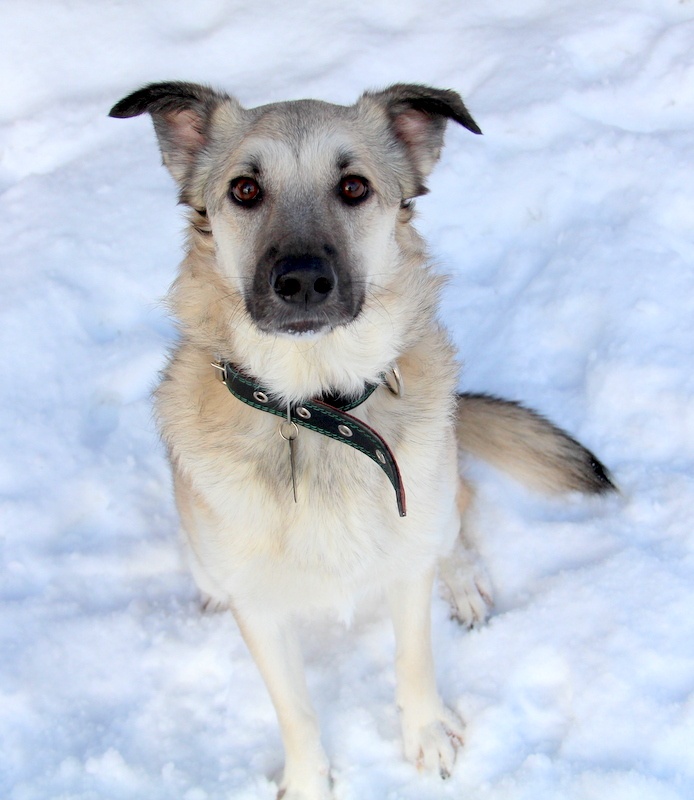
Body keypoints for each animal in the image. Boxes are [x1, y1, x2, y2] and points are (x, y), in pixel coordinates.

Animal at [109, 81, 616, 800]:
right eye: (244, 189)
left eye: (353, 187)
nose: (301, 280)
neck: (318, 412)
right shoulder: (259, 610)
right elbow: (295, 708)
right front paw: (309, 780)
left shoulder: (406, 568)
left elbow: (414, 657)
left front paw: (427, 736)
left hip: (439, 492)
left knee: (455, 523)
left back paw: (462, 581)